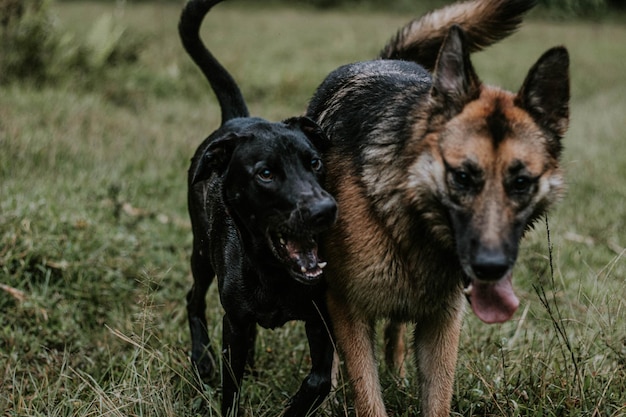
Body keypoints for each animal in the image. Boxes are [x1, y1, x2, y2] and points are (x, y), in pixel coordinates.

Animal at [178, 1, 338, 414]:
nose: (325, 210)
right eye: (265, 173)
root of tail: (236, 118)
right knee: (193, 299)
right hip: (201, 251)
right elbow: (230, 387)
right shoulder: (233, 323)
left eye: (315, 162)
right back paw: (201, 359)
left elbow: (317, 381)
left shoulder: (321, 319)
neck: (274, 273)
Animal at [304, 0, 568, 416]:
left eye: (521, 183)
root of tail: (386, 61)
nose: (491, 267)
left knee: (395, 330)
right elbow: (367, 397)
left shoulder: (443, 323)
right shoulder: (347, 309)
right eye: (462, 177)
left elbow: (437, 398)